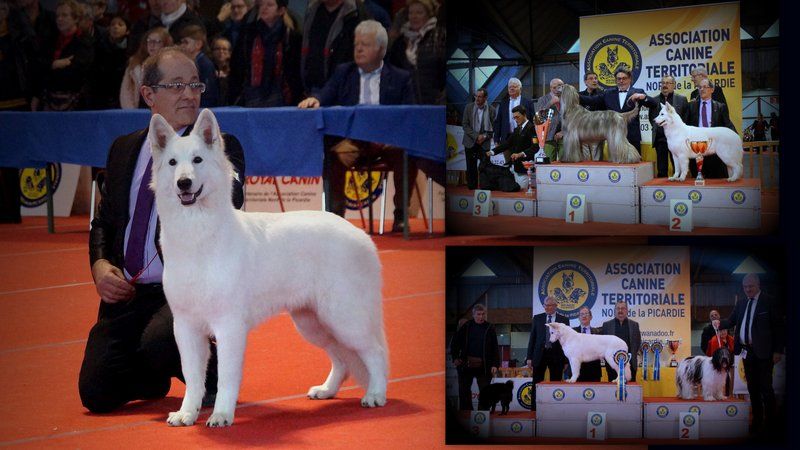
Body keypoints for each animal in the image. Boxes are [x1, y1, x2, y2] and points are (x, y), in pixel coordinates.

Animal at [148, 109, 388, 427]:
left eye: (197, 160)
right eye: (173, 163)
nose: (184, 183)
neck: (198, 235)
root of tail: (362, 235)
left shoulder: (229, 327)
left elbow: (225, 378)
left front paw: (221, 415)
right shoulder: (186, 327)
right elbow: (194, 377)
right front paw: (187, 414)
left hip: (345, 318)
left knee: (376, 353)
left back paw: (376, 395)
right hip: (314, 323)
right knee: (341, 359)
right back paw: (326, 390)